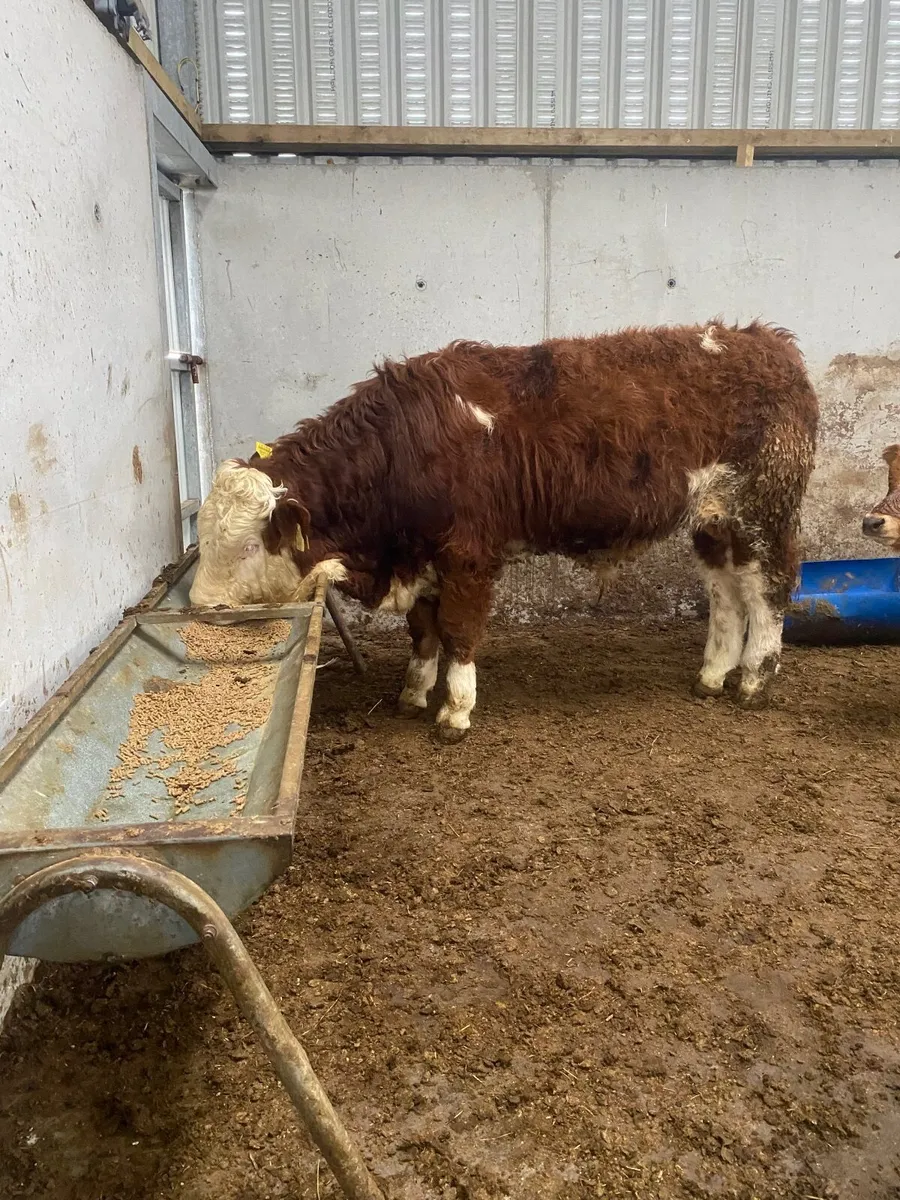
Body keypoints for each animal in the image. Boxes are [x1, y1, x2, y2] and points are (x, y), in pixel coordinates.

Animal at [190, 322, 818, 742]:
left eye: (249, 544)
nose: (199, 605)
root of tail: (767, 341)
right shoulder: (422, 555)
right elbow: (423, 630)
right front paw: (413, 692)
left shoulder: (468, 553)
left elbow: (459, 630)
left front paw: (455, 711)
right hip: (715, 521)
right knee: (727, 594)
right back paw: (713, 675)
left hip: (764, 509)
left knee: (770, 589)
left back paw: (754, 682)